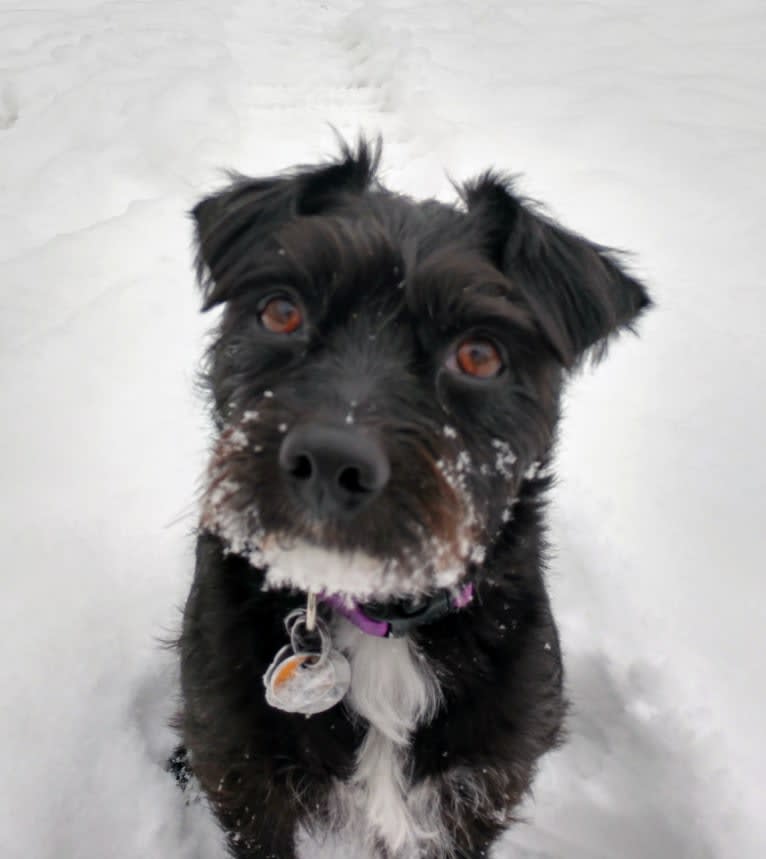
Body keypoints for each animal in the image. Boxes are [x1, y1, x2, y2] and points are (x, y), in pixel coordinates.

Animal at [176, 138, 656, 856]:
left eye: (479, 354)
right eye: (281, 312)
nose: (329, 461)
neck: (382, 623)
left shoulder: (480, 786)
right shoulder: (243, 777)